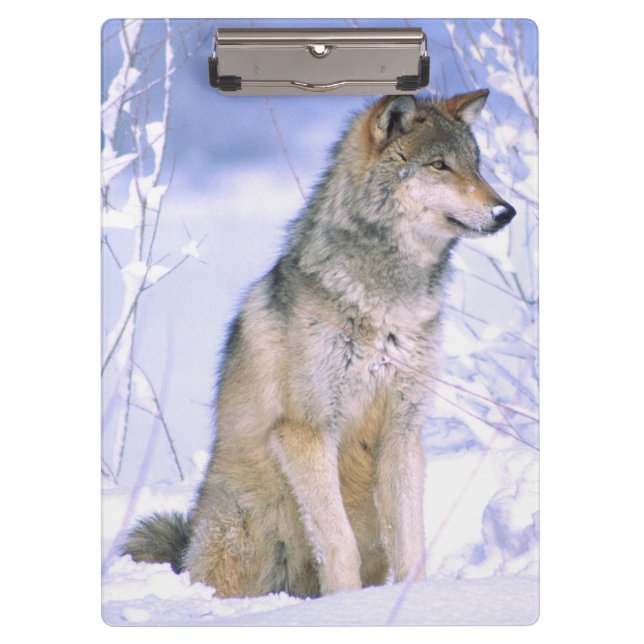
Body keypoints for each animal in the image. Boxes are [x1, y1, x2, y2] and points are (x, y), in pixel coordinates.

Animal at [122, 89, 516, 598]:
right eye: (439, 165)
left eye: (476, 165)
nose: (505, 211)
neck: (387, 306)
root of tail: (185, 550)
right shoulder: (306, 432)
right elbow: (337, 543)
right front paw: (345, 606)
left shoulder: (403, 433)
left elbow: (412, 546)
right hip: (242, 531)